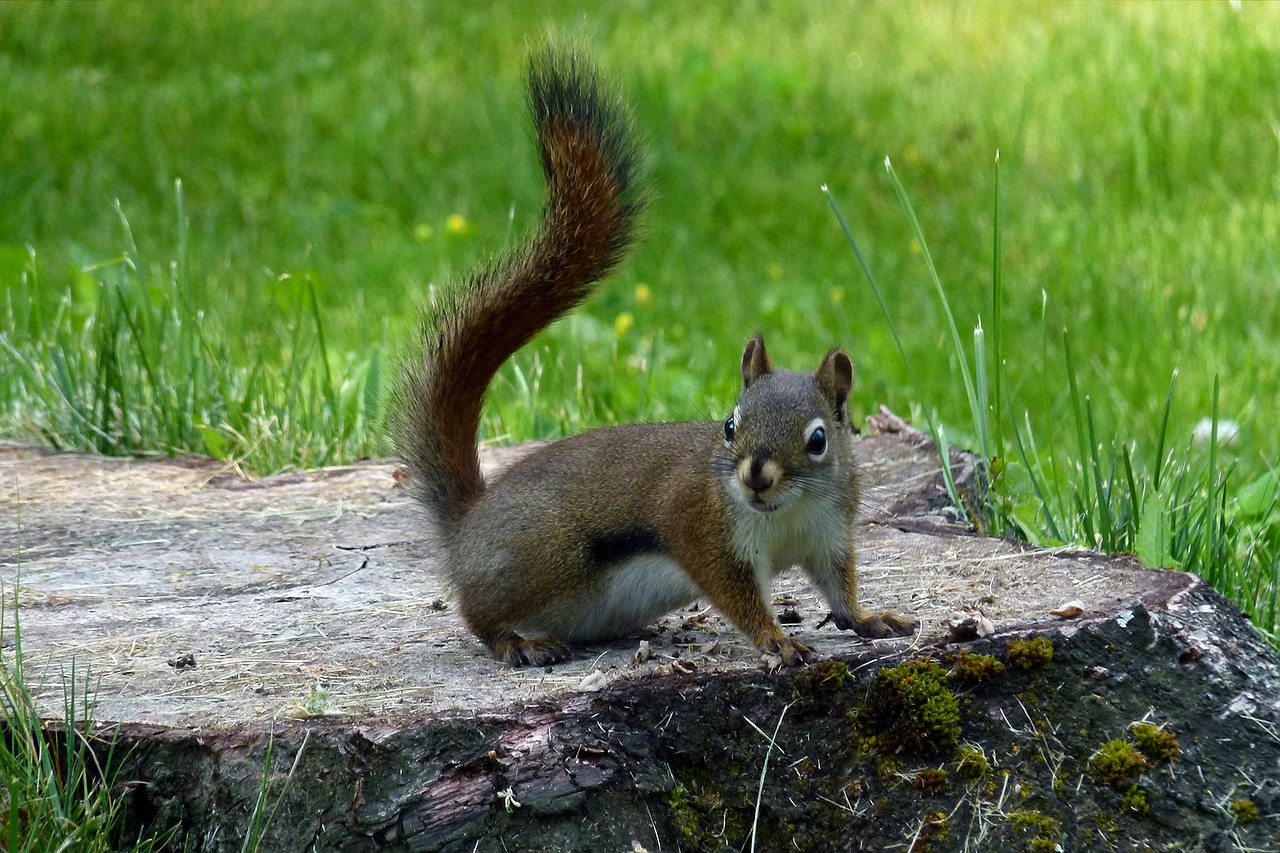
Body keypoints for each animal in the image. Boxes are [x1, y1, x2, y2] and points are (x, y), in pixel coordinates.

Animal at [394, 46, 916, 666]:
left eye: (818, 440)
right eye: (729, 425)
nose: (756, 477)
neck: (788, 513)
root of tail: (467, 524)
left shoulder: (829, 536)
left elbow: (840, 592)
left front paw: (871, 618)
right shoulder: (700, 528)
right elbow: (736, 595)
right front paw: (776, 639)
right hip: (542, 557)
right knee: (476, 613)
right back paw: (516, 641)